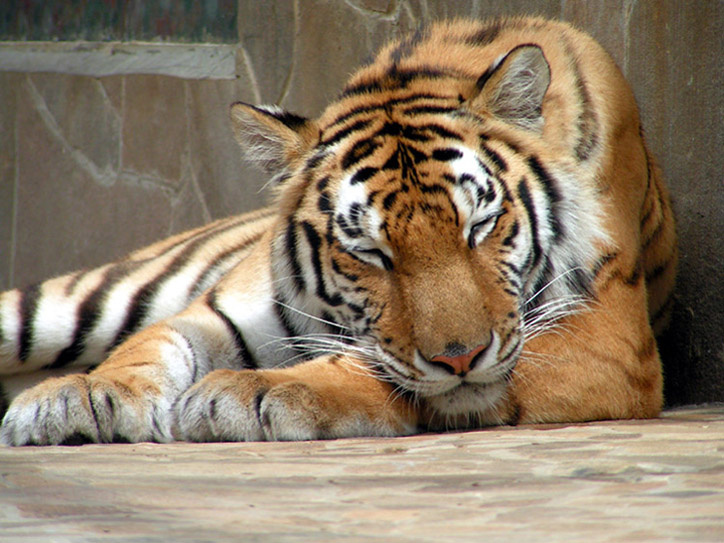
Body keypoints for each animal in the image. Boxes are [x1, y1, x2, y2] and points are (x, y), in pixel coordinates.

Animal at [0, 16, 677, 446]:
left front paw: (248, 391)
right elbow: (148, 345)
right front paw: (85, 396)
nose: (459, 357)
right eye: (372, 254)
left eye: (480, 228)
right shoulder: (221, 310)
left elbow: (364, 366)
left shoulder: (609, 333)